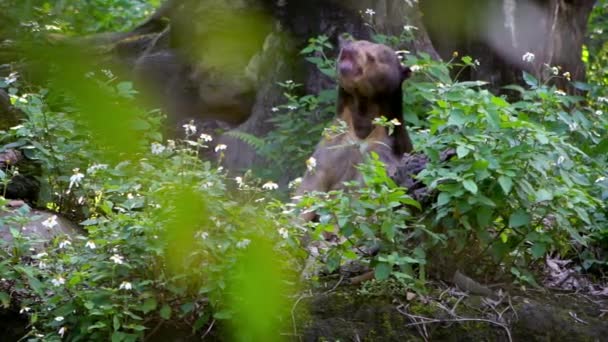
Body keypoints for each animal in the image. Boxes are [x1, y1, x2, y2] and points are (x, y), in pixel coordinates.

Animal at [296, 37, 414, 222]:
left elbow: (359, 198)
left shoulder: (380, 153)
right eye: (356, 42)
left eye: (372, 57)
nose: (348, 51)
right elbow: (308, 192)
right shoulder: (331, 145)